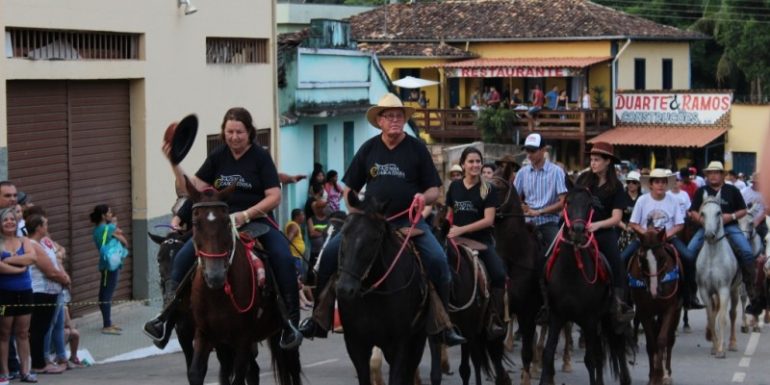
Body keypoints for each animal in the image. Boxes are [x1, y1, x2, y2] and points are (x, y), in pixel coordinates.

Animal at [184, 183, 298, 384]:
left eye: (227, 223)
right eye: (196, 223)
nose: (215, 276)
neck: (218, 294)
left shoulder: (243, 338)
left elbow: (237, 377)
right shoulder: (206, 334)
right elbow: (196, 373)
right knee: (252, 371)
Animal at [336, 198, 432, 384]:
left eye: (375, 238)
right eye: (344, 233)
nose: (345, 288)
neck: (373, 295)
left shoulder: (400, 342)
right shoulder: (355, 344)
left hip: (418, 338)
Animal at [536, 188, 628, 384]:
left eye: (590, 204)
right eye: (567, 202)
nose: (578, 231)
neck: (572, 273)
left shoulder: (589, 319)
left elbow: (591, 359)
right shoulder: (557, 316)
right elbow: (548, 353)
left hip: (606, 320)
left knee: (615, 348)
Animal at [628, 226, 680, 384]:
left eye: (662, 257)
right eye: (642, 259)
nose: (654, 290)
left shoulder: (670, 308)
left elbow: (662, 340)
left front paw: (661, 373)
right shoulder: (643, 311)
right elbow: (651, 343)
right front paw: (653, 376)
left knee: (670, 339)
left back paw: (667, 372)